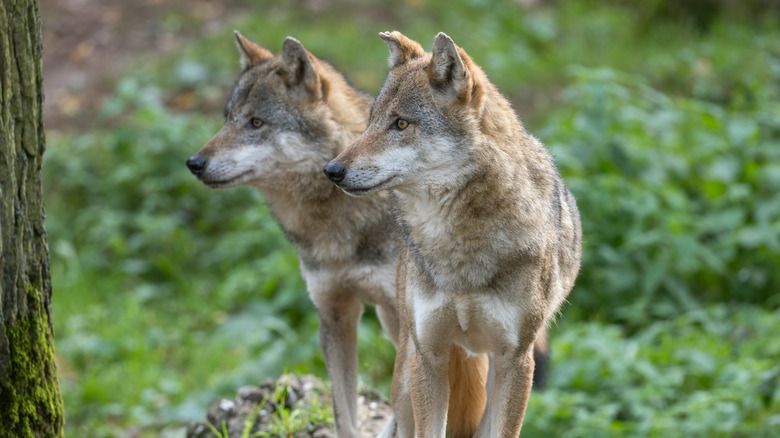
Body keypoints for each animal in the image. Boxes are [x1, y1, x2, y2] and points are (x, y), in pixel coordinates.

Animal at [322, 31, 580, 438]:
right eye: (371, 121)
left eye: (400, 124)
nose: (331, 170)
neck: (459, 245)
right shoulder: (430, 356)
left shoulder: (517, 361)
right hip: (406, 376)